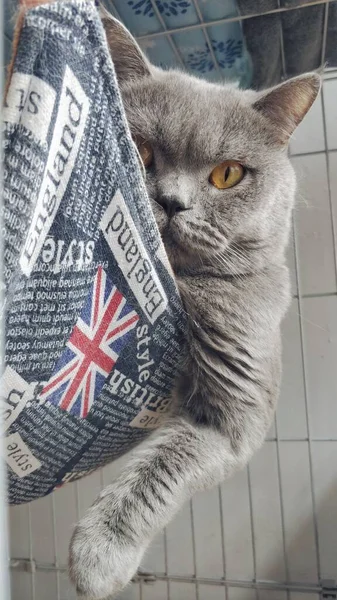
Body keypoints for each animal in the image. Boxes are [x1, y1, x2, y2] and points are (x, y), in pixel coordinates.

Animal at [69, 14, 320, 600]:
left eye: (227, 174)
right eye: (137, 150)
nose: (171, 202)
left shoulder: (236, 404)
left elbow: (164, 465)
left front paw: (99, 556)